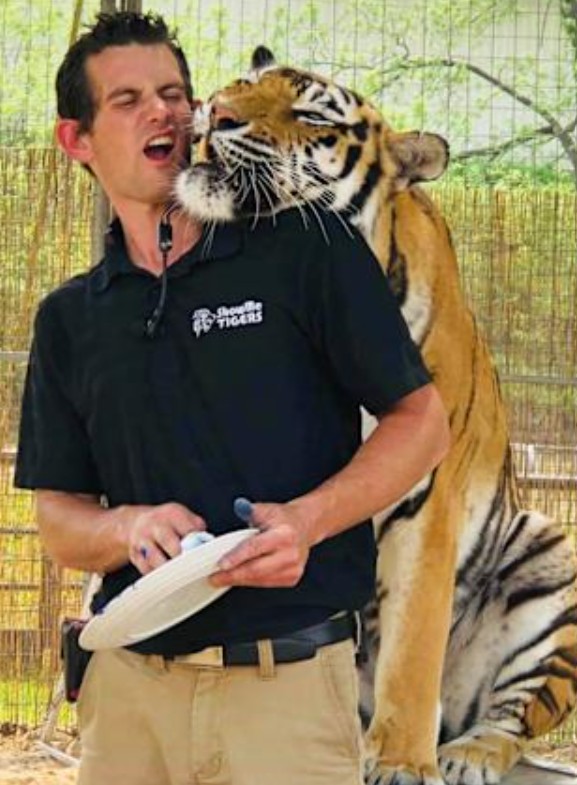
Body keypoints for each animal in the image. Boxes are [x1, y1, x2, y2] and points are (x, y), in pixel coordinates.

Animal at [175, 46, 577, 785]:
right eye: (245, 83)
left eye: (311, 115)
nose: (215, 111)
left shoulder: (426, 502)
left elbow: (412, 649)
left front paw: (397, 760)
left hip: (547, 551)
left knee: (510, 715)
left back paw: (465, 752)